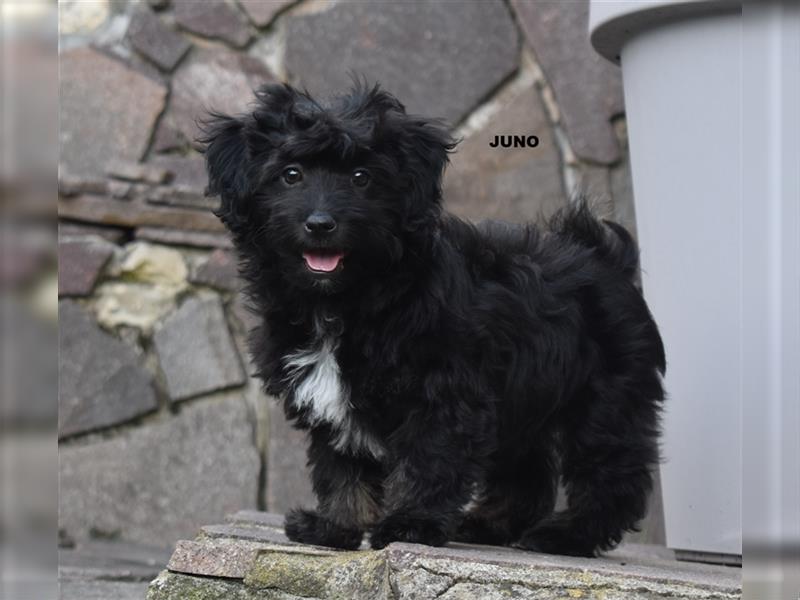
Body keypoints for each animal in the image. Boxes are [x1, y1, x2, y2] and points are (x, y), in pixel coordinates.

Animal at [203, 81, 664, 556]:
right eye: (290, 174)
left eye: (361, 177)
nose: (320, 223)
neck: (348, 300)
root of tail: (604, 254)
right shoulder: (331, 404)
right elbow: (342, 465)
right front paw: (336, 525)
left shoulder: (442, 388)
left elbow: (428, 458)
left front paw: (411, 523)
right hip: (525, 401)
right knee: (525, 470)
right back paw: (488, 525)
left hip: (601, 395)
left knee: (607, 469)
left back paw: (569, 533)